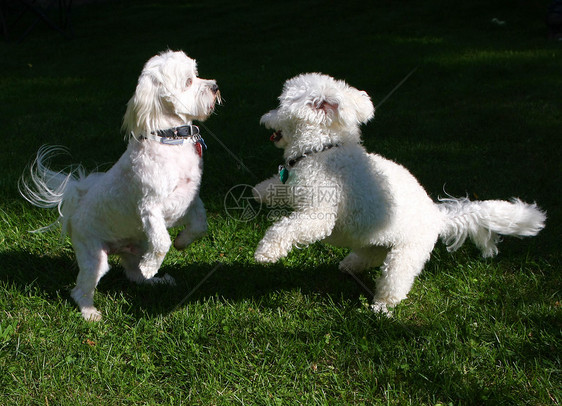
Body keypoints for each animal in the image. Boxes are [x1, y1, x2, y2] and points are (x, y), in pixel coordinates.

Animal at [18, 50, 219, 320]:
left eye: (197, 75)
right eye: (188, 82)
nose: (215, 87)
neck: (169, 141)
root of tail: (75, 208)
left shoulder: (191, 199)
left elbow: (200, 226)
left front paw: (182, 242)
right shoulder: (150, 208)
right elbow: (162, 242)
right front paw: (154, 263)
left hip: (138, 245)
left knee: (134, 274)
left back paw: (155, 280)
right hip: (94, 256)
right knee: (80, 289)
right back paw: (90, 312)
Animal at [253, 73, 544, 314]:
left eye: (280, 104)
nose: (264, 118)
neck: (322, 150)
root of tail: (437, 216)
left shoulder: (318, 214)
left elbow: (287, 228)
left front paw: (266, 252)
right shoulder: (293, 184)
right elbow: (278, 188)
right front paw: (259, 192)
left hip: (405, 256)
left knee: (394, 281)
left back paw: (382, 307)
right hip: (375, 242)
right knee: (368, 256)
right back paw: (349, 266)